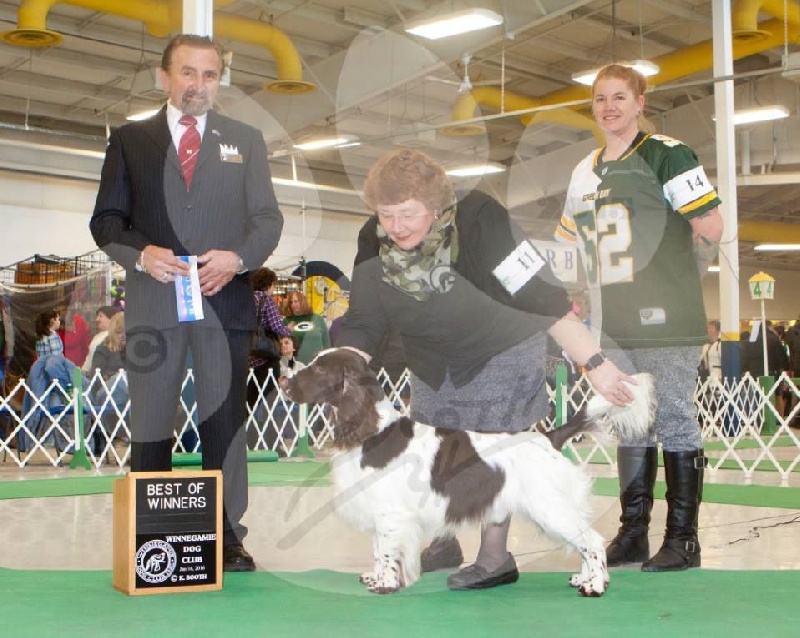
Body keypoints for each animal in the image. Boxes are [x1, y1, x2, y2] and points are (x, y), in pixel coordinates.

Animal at [280, 347, 655, 596]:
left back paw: (595, 586)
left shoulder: (391, 513)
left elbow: (386, 552)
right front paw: (375, 578)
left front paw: (385, 584)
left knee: (592, 542)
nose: (283, 381)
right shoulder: (380, 510)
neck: (372, 431)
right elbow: (377, 550)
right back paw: (584, 578)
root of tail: (549, 437)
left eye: (319, 369)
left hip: (552, 507)